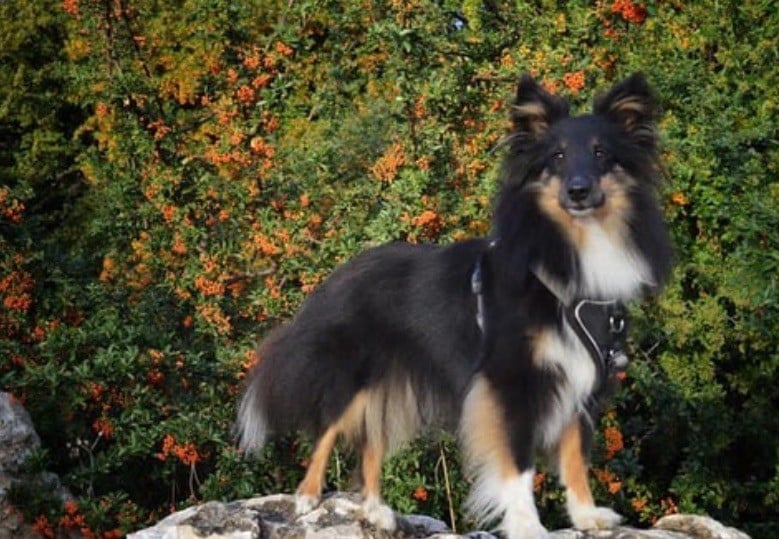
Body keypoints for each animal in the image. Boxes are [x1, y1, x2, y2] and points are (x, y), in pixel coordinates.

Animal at [235, 73, 672, 539]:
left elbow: (574, 457)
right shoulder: (510, 380)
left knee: (370, 444)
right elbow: (518, 462)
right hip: (355, 376)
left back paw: (375, 511)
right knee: (327, 430)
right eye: (556, 156)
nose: (578, 190)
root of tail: (337, 276)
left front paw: (588, 516)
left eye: (601, 153)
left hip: (391, 388)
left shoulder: (582, 378)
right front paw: (527, 525)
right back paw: (307, 497)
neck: (571, 250)